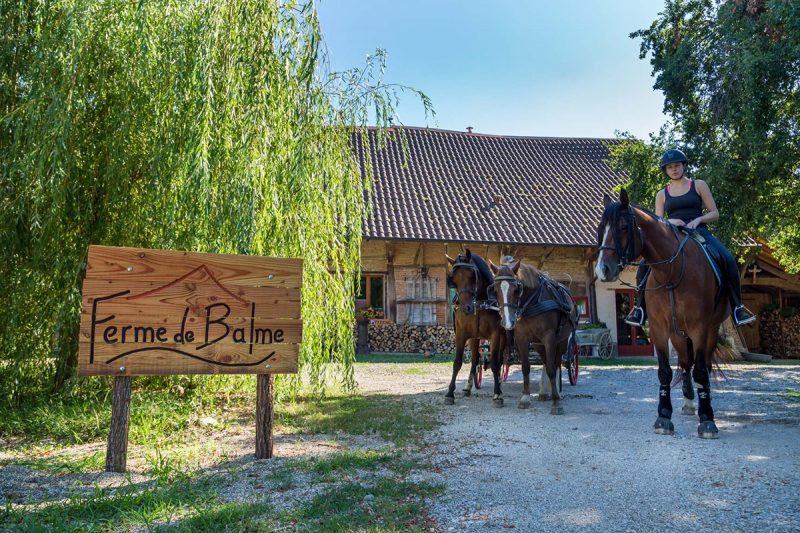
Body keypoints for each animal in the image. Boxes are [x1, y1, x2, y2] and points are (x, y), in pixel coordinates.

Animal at [444, 249, 506, 404]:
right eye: (453, 279)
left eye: (473, 276)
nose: (467, 308)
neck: (479, 304)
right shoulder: (461, 333)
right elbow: (458, 362)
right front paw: (450, 393)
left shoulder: (496, 334)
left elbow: (495, 363)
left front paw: (497, 393)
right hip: (474, 338)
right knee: (475, 360)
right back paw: (468, 387)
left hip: (504, 338)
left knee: (500, 360)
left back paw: (499, 384)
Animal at [488, 258, 576, 412]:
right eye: (496, 290)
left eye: (516, 289)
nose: (507, 321)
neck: (533, 302)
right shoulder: (522, 339)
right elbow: (526, 368)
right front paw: (525, 398)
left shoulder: (549, 338)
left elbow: (552, 369)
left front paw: (556, 403)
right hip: (538, 344)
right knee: (546, 362)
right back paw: (544, 392)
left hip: (562, 341)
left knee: (556, 363)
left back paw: (556, 393)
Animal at [596, 189, 728, 438]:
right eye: (601, 229)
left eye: (623, 227)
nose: (602, 270)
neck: (672, 273)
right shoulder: (659, 328)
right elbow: (665, 372)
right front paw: (663, 417)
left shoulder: (700, 327)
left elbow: (701, 372)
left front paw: (707, 421)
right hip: (678, 334)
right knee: (685, 363)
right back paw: (688, 402)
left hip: (709, 330)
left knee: (702, 365)